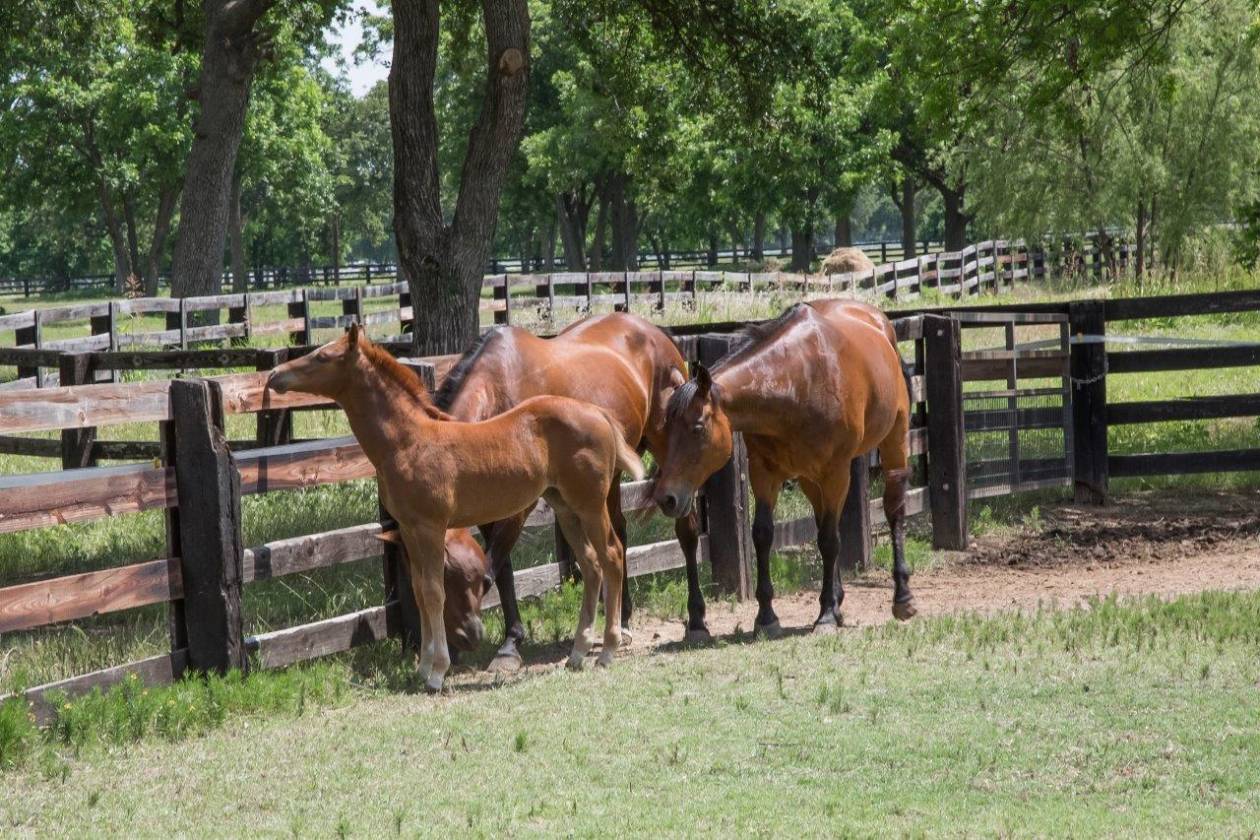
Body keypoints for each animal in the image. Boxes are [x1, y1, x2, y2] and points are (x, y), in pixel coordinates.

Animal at [266, 323, 643, 692]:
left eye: (323, 357)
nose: (274, 376)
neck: (409, 442)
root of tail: (598, 412)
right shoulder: (409, 529)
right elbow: (420, 591)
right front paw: (422, 667)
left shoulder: (431, 526)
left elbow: (434, 592)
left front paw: (437, 673)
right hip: (564, 507)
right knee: (591, 564)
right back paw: (578, 653)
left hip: (589, 504)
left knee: (611, 555)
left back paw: (608, 649)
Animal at [433, 312, 707, 671]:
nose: (458, 637)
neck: (498, 391)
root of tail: (656, 333)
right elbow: (502, 569)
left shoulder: (519, 509)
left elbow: (492, 569)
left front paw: (507, 646)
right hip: (608, 478)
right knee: (618, 538)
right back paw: (622, 621)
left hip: (670, 459)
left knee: (686, 532)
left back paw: (697, 619)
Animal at [651, 299, 917, 637]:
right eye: (664, 430)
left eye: (697, 428)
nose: (667, 498)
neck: (798, 381)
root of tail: (881, 323)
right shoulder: (764, 472)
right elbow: (764, 534)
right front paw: (767, 617)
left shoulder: (835, 472)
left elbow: (829, 540)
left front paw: (824, 616)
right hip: (808, 478)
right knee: (822, 521)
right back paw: (837, 601)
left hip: (892, 441)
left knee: (893, 510)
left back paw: (901, 598)